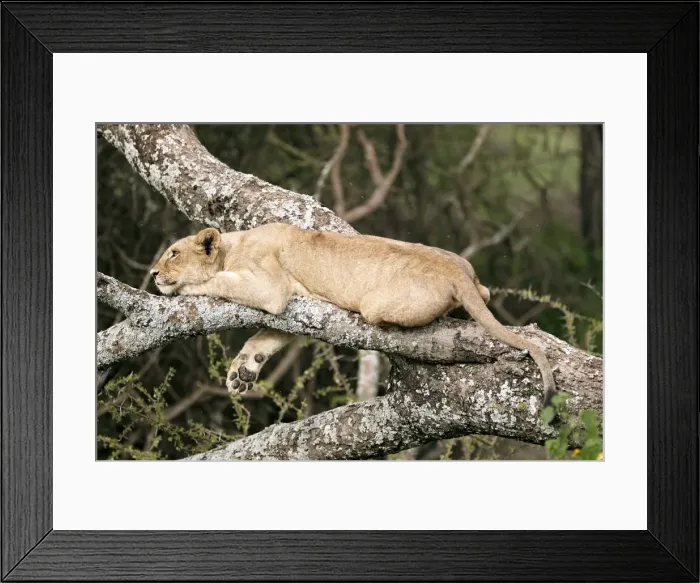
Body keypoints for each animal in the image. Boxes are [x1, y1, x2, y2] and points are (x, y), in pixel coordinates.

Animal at [150, 223, 556, 405]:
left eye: (173, 253)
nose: (152, 274)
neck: (234, 246)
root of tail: (455, 273)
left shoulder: (271, 288)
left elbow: (219, 282)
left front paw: (185, 287)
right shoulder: (288, 307)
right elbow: (263, 339)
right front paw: (242, 374)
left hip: (375, 306)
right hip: (466, 273)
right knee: (484, 292)